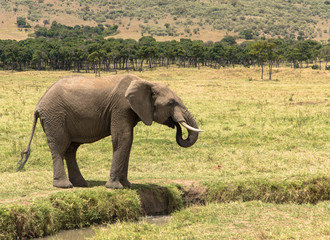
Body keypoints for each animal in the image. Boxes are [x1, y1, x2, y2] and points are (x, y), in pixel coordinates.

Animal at [18, 74, 204, 188]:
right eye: (171, 103)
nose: (176, 125)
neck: (146, 82)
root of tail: (38, 105)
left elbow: (128, 141)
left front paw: (127, 185)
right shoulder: (121, 108)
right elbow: (122, 138)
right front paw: (115, 187)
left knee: (71, 149)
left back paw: (81, 184)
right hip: (55, 116)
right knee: (60, 146)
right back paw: (64, 185)